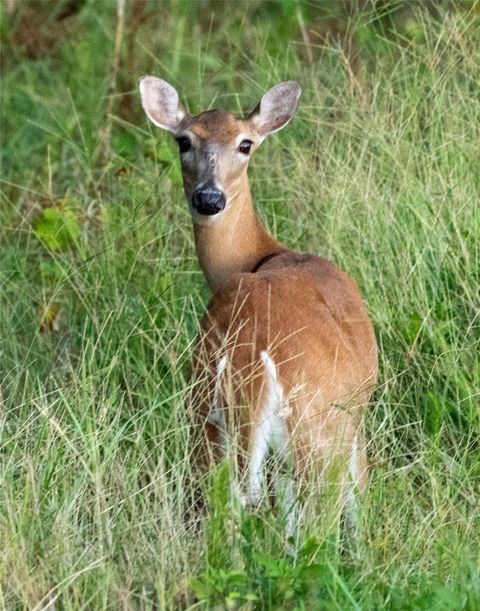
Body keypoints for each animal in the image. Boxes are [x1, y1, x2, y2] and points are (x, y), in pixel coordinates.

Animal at [139, 75, 378, 536]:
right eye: (184, 141)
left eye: (245, 144)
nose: (209, 198)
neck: (264, 254)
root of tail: (250, 352)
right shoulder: (354, 420)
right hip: (317, 430)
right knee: (317, 522)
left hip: (204, 419)